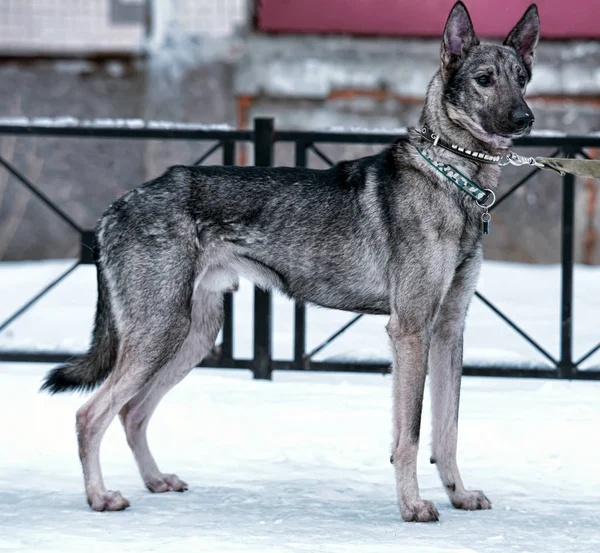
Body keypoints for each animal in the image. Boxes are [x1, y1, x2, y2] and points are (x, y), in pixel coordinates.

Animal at [41, 2, 540, 520]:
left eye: (523, 78)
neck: (454, 180)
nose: (525, 118)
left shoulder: (448, 329)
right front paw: (412, 505)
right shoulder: (411, 330)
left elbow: (448, 430)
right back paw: (99, 497)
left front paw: (458, 494)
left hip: (193, 336)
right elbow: (410, 433)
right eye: (484, 79)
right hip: (161, 333)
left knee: (131, 412)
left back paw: (155, 480)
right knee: (90, 414)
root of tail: (113, 208)